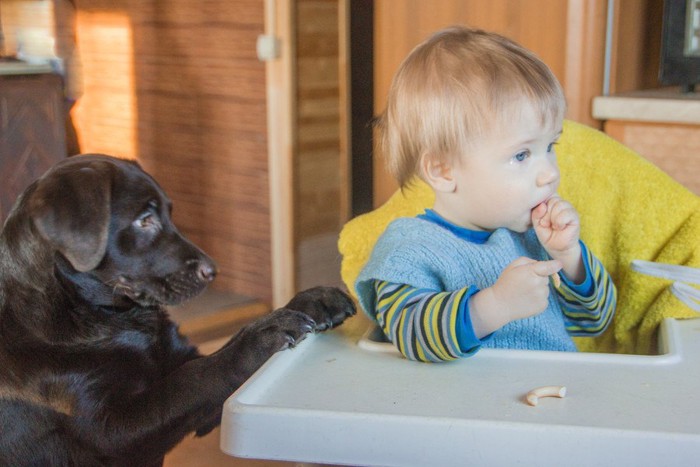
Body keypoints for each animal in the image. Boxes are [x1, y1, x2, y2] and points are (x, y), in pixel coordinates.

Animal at [0, 155, 356, 466]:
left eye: (169, 215)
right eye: (144, 220)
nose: (213, 271)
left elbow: (208, 363)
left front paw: (312, 300)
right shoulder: (111, 430)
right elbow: (194, 376)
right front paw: (262, 336)